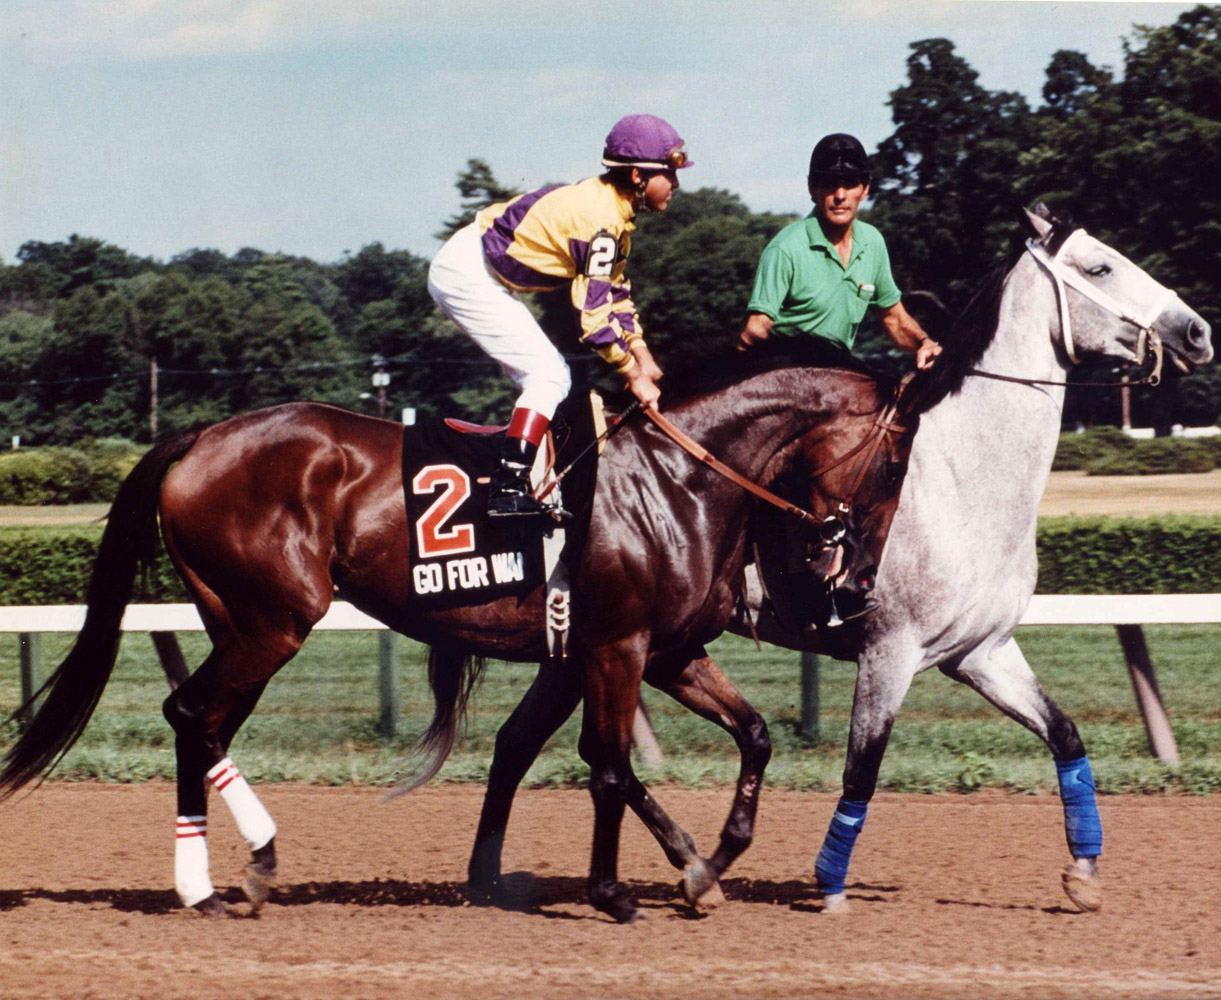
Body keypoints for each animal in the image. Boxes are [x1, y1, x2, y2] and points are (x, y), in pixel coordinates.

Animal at [0, 351, 908, 923]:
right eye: (897, 463)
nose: (855, 585)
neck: (677, 483)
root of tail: (200, 436)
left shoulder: (666, 652)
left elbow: (748, 736)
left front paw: (704, 867)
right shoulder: (615, 647)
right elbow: (608, 767)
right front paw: (615, 892)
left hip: (239, 622)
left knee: (200, 721)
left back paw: (224, 877)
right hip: (273, 621)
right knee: (192, 714)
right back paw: (234, 868)